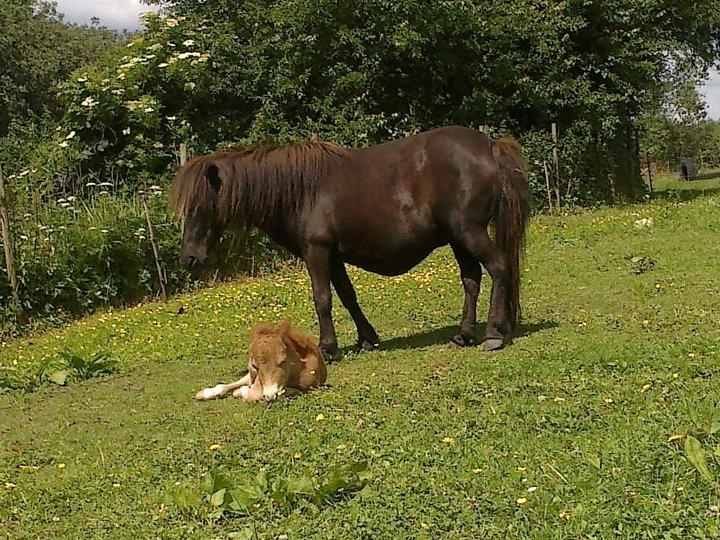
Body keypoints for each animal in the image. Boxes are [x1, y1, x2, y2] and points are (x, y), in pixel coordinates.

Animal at [169, 126, 528, 358]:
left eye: (200, 207)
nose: (188, 258)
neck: (300, 191)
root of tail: (488, 145)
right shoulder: (334, 255)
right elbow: (347, 296)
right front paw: (367, 338)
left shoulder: (316, 251)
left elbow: (323, 299)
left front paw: (327, 349)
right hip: (457, 238)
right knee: (471, 279)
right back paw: (464, 334)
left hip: (469, 232)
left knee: (498, 267)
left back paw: (494, 333)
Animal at [193, 318, 324, 402]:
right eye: (255, 366)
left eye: (282, 361)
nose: (270, 395)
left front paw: (240, 392)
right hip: (250, 375)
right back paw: (205, 393)